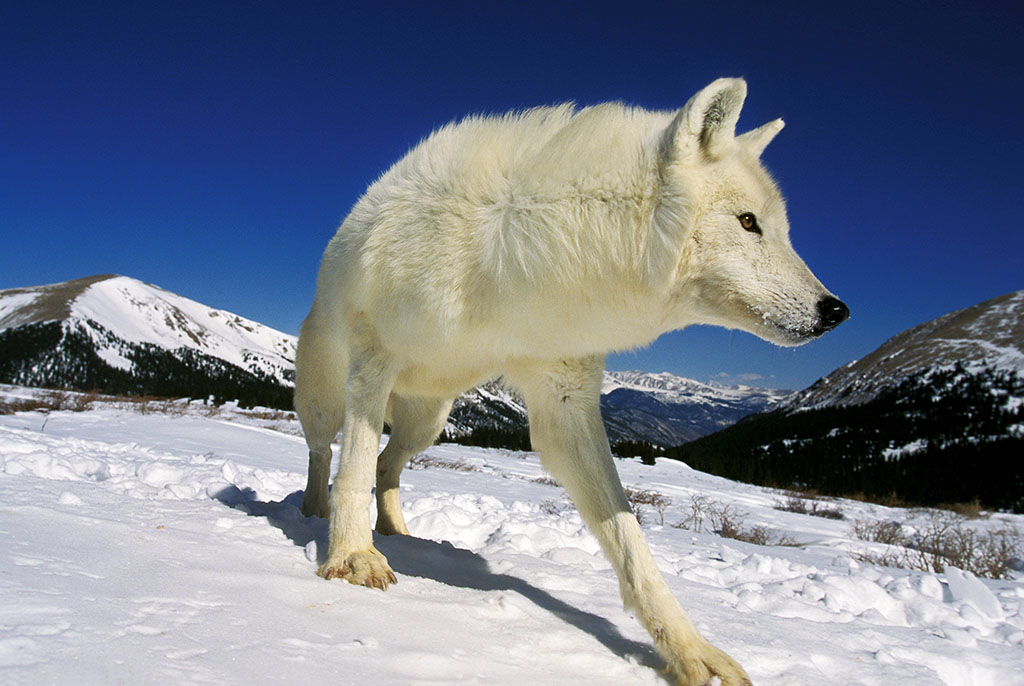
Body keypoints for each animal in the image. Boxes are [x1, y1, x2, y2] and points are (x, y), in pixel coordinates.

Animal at [294, 77, 847, 683]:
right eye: (749, 222)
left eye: (783, 229)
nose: (835, 311)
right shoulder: (375, 355)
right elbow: (352, 468)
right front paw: (351, 557)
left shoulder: (565, 399)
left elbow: (631, 541)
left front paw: (689, 650)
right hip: (331, 397)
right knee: (327, 451)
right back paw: (314, 509)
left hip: (431, 419)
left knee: (388, 465)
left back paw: (396, 529)